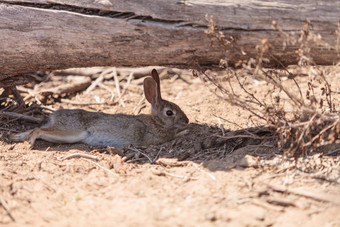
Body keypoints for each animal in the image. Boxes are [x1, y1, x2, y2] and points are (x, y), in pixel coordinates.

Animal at [9, 69, 189, 147]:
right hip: (71, 132)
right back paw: (29, 142)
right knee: (37, 130)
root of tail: (55, 116)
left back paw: (16, 137)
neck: (156, 122)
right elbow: (172, 135)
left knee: (36, 129)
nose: (187, 121)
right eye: (169, 112)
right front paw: (184, 132)